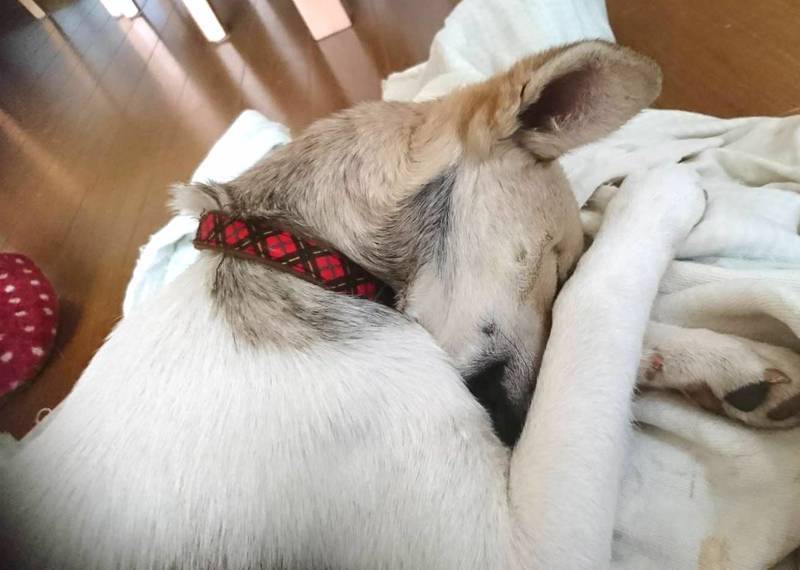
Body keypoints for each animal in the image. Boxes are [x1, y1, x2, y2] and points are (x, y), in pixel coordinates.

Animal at [0, 39, 789, 569]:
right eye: (554, 263)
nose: (513, 430)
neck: (302, 262)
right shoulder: (518, 548)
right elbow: (596, 309)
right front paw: (661, 196)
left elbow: (596, 349)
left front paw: (730, 365)